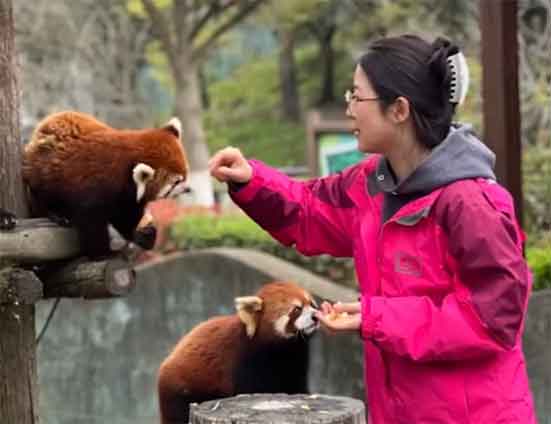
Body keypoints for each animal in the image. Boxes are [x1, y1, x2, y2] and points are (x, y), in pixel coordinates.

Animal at [22, 111, 190, 258]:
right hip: (44, 172)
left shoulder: (126, 197)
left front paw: (142, 234)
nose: (188, 189)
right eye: (176, 182)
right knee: (42, 194)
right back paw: (55, 214)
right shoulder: (95, 187)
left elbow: (126, 216)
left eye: (185, 176)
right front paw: (102, 253)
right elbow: (91, 222)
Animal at [156, 282, 320, 424]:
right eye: (297, 309)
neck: (283, 350)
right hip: (181, 393)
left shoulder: (296, 363)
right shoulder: (247, 362)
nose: (315, 316)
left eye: (311, 304)